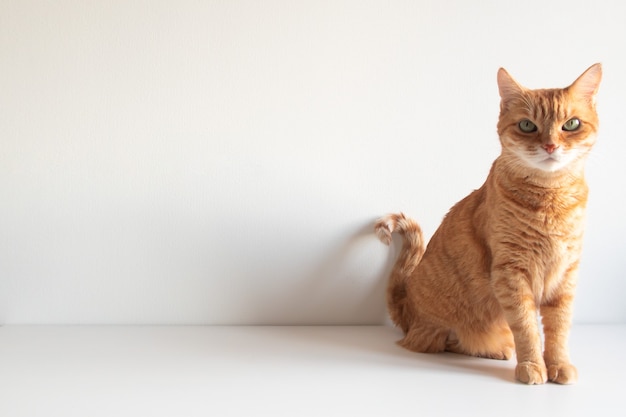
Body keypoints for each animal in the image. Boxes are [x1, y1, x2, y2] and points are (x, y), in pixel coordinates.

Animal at [376, 63, 600, 386]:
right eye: (527, 126)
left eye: (571, 124)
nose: (550, 145)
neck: (549, 198)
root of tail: (406, 308)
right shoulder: (511, 273)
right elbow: (526, 327)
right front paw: (533, 365)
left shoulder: (565, 274)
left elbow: (558, 329)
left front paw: (558, 364)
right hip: (443, 324)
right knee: (442, 341)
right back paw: (494, 349)